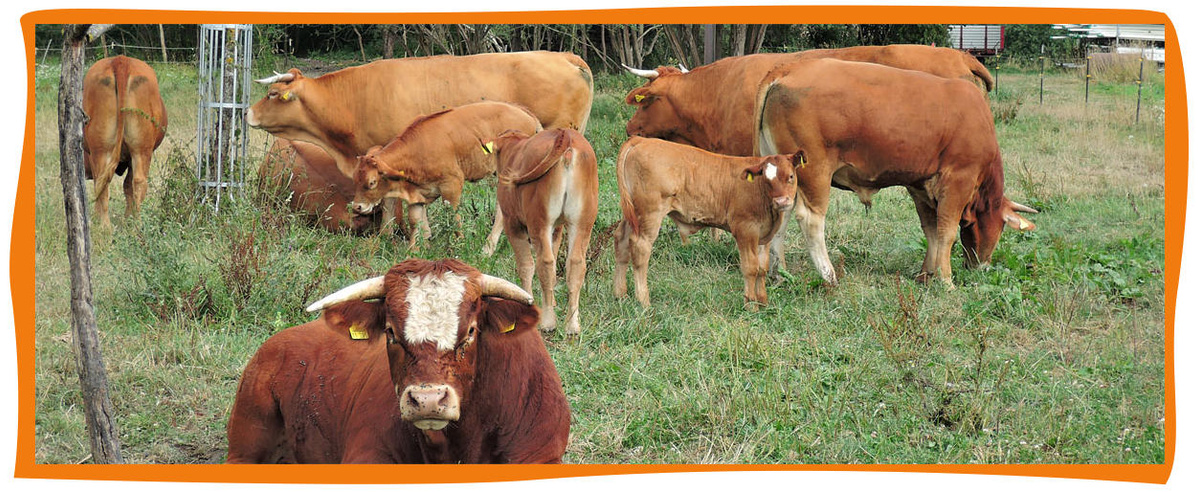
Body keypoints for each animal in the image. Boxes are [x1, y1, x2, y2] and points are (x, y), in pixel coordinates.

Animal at [82, 55, 168, 228]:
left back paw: (107, 226)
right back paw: (135, 224)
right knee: (136, 182)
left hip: (104, 150)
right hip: (139, 150)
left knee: (104, 183)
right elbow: (127, 186)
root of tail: (120, 60)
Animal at [349, 102, 543, 251]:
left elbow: (454, 218)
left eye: (372, 182)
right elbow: (415, 221)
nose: (357, 207)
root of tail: (523, 111)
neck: (418, 150)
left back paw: (488, 248)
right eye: (355, 179)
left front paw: (459, 245)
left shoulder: (452, 185)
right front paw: (414, 251)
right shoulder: (417, 194)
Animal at [491, 128, 599, 334]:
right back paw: (572, 324)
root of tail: (567, 135)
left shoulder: (512, 223)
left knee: (545, 262)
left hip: (539, 222)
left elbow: (525, 266)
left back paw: (548, 322)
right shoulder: (558, 228)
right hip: (582, 222)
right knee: (575, 264)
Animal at [613, 137, 800, 310]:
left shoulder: (764, 235)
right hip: (649, 214)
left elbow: (762, 267)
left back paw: (620, 295)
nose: (781, 201)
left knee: (621, 241)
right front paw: (751, 305)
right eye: (767, 180)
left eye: (790, 176)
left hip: (632, 215)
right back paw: (643, 301)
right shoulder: (745, 230)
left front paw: (763, 302)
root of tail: (640, 140)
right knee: (640, 248)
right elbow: (751, 268)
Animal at [753, 58, 1037, 287]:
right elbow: (946, 233)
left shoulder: (921, 186)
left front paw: (926, 274)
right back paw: (828, 275)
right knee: (811, 221)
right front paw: (946, 280)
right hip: (815, 172)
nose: (982, 266)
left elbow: (931, 231)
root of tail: (787, 69)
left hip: (786, 175)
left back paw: (780, 274)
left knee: (782, 215)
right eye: (1002, 227)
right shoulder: (958, 181)